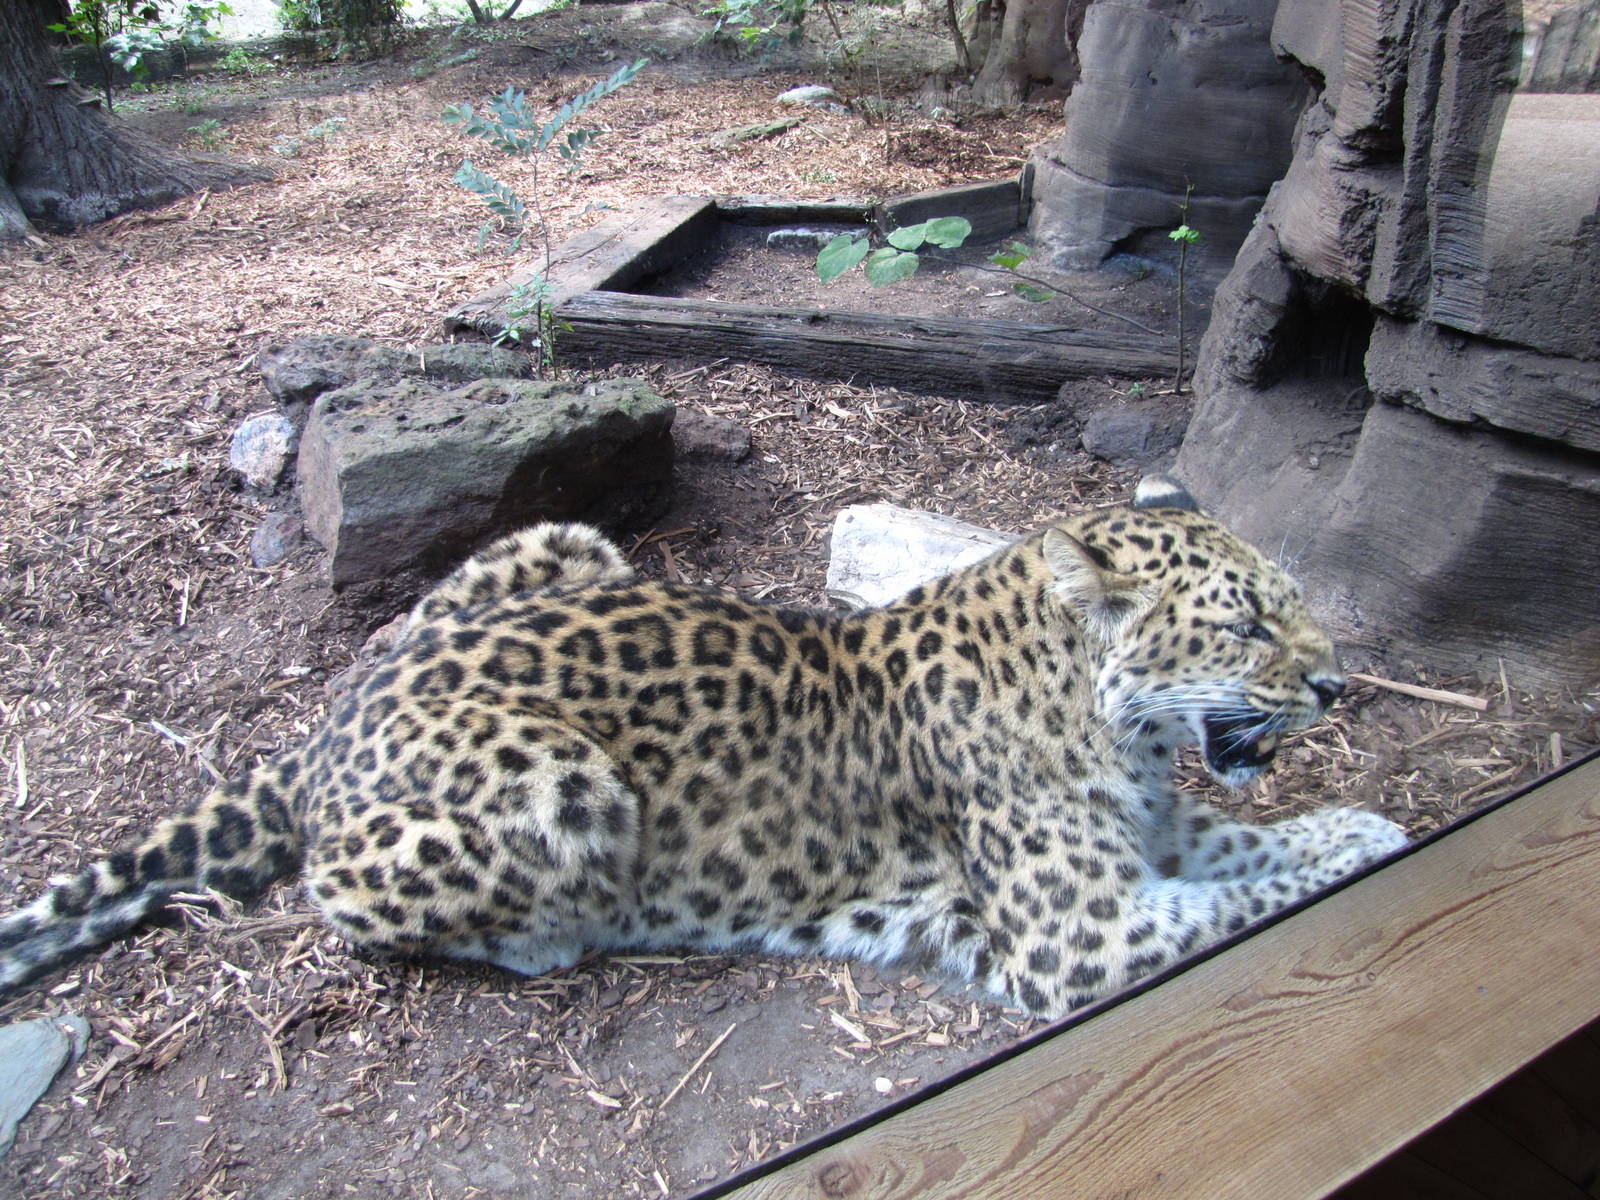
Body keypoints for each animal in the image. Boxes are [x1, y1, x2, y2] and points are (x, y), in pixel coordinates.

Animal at [0, 475, 1407, 1018]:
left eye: (1289, 605)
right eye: (1247, 622)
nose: (1336, 684)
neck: (1113, 728)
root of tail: (337, 717)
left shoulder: (1164, 832)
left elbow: (1253, 842)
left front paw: (1354, 821)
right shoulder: (1086, 937)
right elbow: (1246, 897)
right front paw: (1362, 850)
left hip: (566, 541)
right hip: (559, 779)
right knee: (329, 897)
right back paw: (554, 934)